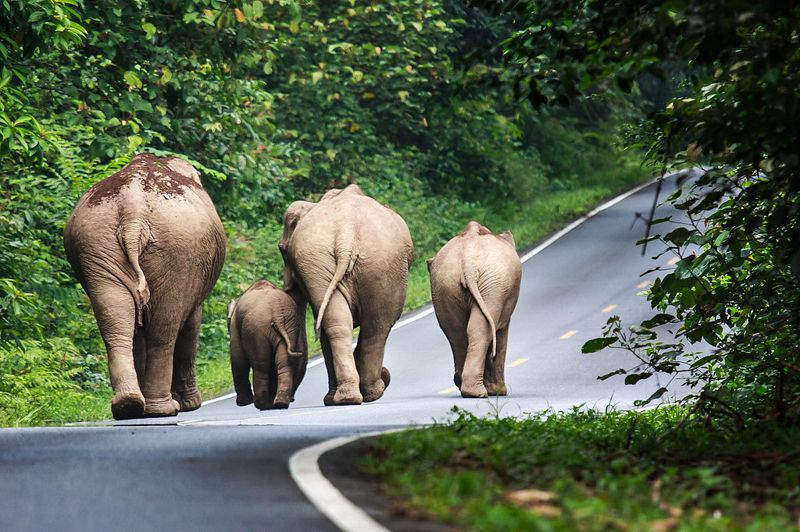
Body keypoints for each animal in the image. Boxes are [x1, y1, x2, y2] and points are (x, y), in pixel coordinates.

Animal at [64, 153, 226, 420]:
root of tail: (133, 211)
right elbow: (191, 323)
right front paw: (191, 405)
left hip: (95, 244)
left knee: (115, 320)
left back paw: (128, 406)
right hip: (178, 253)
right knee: (164, 330)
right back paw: (163, 409)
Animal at [227, 279, 308, 409]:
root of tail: (277, 312)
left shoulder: (235, 325)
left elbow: (238, 359)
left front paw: (243, 403)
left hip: (257, 329)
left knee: (261, 366)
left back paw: (262, 405)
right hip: (290, 326)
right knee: (283, 363)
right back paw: (279, 403)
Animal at [279, 184, 413, 406]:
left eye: (281, 249)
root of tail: (345, 235)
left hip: (372, 261)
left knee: (358, 324)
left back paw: (351, 396)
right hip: (359, 261)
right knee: (371, 325)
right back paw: (364, 393)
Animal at [428, 221, 521, 398]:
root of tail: (468, 262)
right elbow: (501, 333)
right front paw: (500, 392)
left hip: (446, 284)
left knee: (457, 332)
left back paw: (465, 386)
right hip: (493, 286)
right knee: (481, 330)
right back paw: (479, 392)